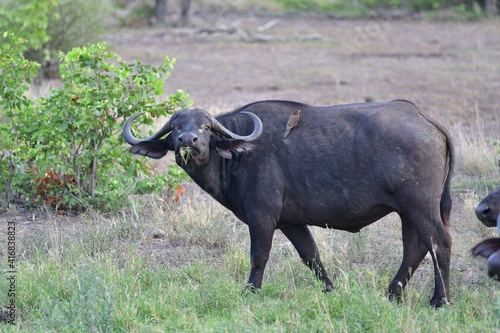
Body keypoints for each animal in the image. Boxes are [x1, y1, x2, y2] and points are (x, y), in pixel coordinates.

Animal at [123, 98, 456, 306]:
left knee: (439, 242)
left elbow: (259, 256)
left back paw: (440, 300)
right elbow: (311, 256)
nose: (187, 141)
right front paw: (330, 289)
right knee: (415, 247)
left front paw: (251, 292)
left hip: (420, 206)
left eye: (205, 127)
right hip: (407, 212)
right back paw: (392, 293)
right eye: (175, 128)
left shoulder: (262, 217)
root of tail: (425, 119)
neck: (240, 153)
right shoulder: (291, 222)